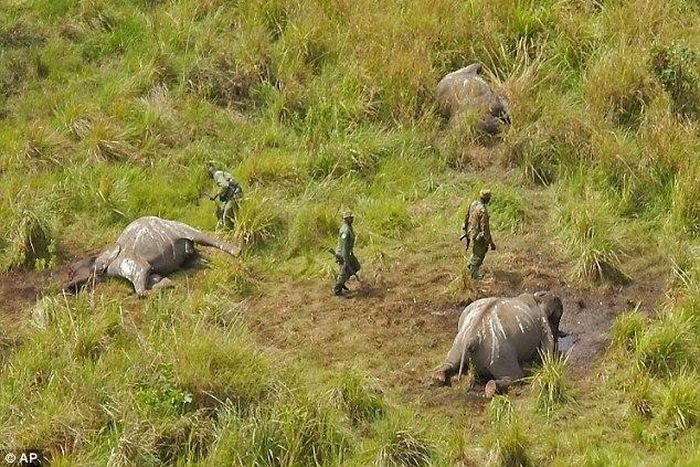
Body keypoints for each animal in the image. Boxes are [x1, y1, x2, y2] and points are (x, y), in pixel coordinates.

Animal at [64, 216, 241, 297]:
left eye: (71, 272)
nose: (67, 288)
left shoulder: (129, 262)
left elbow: (142, 289)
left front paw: (166, 285)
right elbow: (153, 278)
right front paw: (167, 283)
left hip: (184, 229)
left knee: (206, 238)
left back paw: (238, 251)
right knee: (199, 260)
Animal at [432, 291, 564, 397]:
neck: (535, 298)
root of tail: (472, 338)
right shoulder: (542, 321)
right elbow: (547, 345)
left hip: (458, 342)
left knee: (450, 363)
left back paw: (437, 377)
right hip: (498, 353)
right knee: (516, 376)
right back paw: (492, 389)